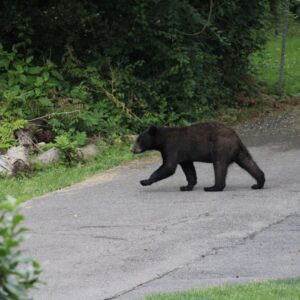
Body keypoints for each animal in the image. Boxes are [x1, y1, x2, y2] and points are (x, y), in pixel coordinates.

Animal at [131, 122, 264, 191]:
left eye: (139, 140)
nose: (132, 149)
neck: (162, 140)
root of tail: (236, 137)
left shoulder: (172, 148)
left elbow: (168, 166)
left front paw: (144, 181)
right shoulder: (184, 155)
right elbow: (189, 170)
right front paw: (186, 186)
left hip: (220, 147)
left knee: (219, 166)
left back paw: (213, 187)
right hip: (239, 151)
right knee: (248, 162)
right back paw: (258, 183)